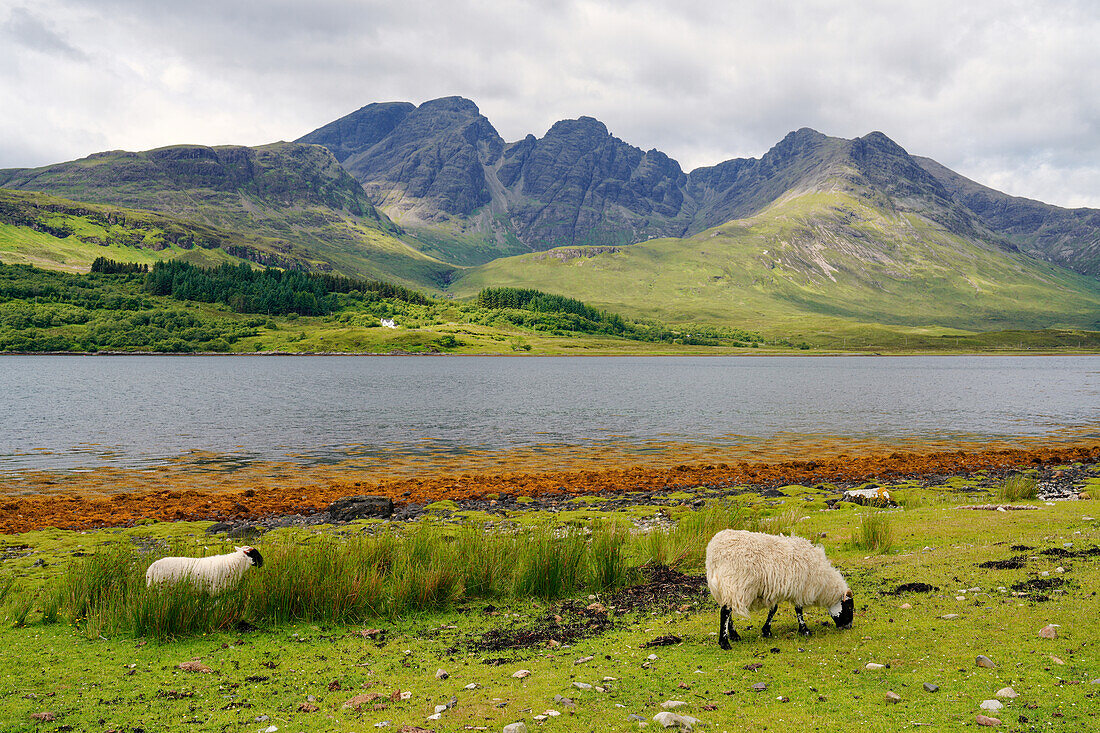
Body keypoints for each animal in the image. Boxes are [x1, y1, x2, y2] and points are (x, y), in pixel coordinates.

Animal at [708, 526, 853, 647]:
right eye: (850, 607)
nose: (849, 627)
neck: (824, 582)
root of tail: (715, 553)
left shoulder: (775, 590)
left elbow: (774, 609)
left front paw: (766, 631)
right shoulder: (800, 588)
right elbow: (798, 610)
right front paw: (804, 630)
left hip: (724, 588)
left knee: (727, 610)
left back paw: (734, 635)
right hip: (736, 584)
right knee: (726, 611)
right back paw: (724, 642)